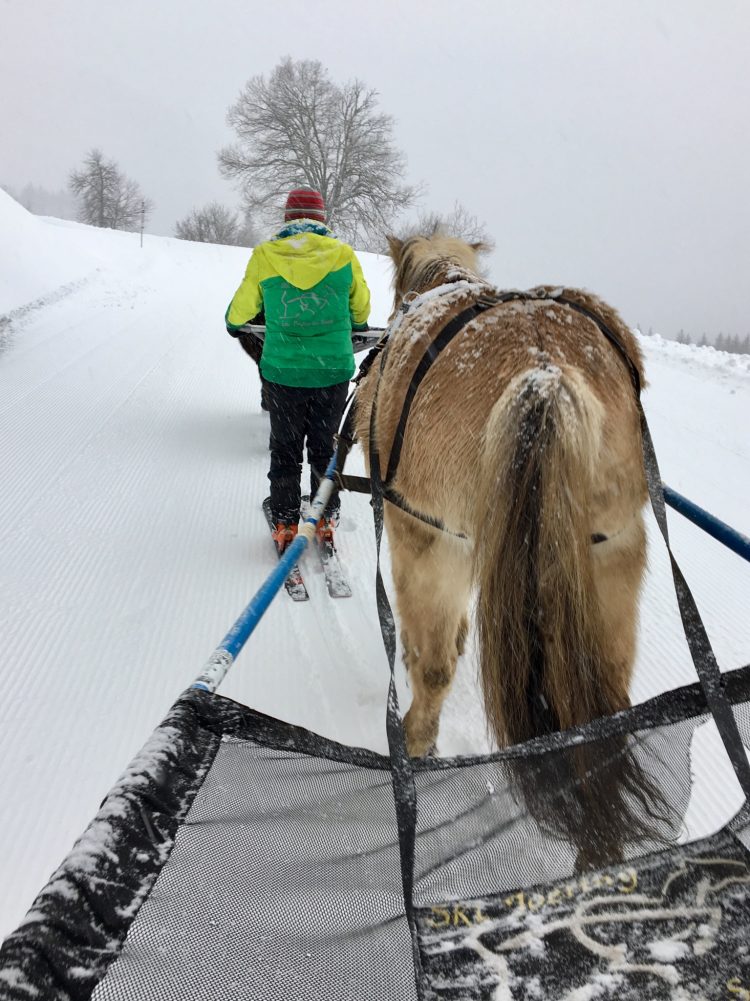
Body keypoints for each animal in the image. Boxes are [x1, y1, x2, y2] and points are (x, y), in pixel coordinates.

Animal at [352, 236, 648, 764]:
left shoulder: (423, 531)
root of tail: (546, 375)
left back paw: (415, 739)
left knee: (435, 668)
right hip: (611, 555)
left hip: (434, 538)